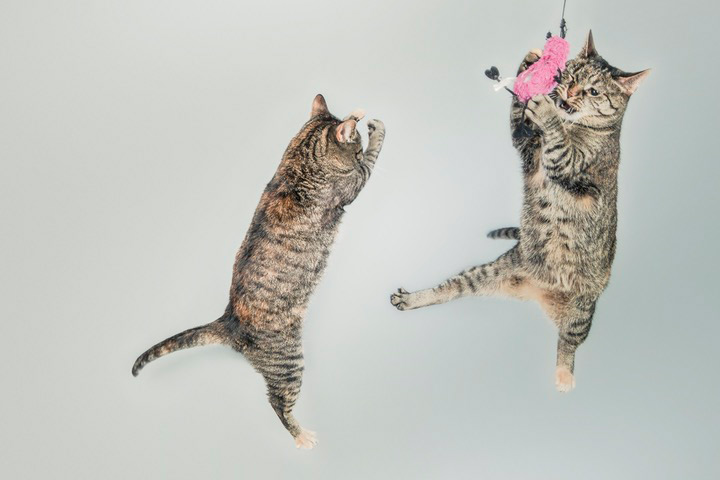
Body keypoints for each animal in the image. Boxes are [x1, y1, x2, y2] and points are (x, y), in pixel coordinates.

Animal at [390, 32, 648, 394]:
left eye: (593, 91)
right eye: (570, 76)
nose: (569, 93)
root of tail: (538, 293)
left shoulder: (567, 165)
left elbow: (558, 143)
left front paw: (546, 107)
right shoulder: (527, 150)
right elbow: (517, 118)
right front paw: (532, 60)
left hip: (580, 313)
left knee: (568, 344)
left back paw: (563, 377)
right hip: (487, 272)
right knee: (449, 290)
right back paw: (413, 298)